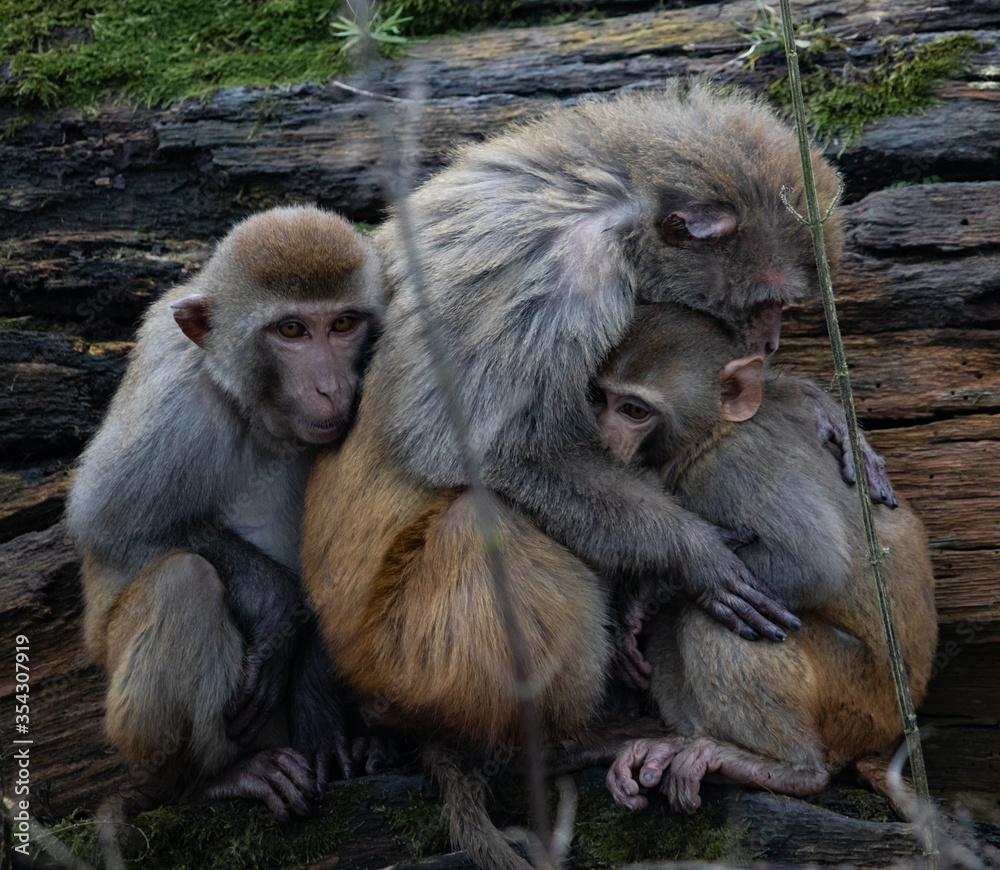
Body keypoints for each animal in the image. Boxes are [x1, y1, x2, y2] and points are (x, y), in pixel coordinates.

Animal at [65, 206, 388, 822]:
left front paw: (322, 721)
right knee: (182, 580)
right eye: (291, 330)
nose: (330, 387)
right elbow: (110, 526)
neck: (263, 421)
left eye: (342, 324)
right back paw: (209, 781)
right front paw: (274, 600)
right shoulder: (179, 405)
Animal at [599, 304, 938, 817]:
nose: (600, 438)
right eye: (600, 398)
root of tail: (889, 736)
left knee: (717, 614)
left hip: (857, 700)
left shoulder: (730, 468)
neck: (713, 430)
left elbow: (810, 563)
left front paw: (650, 592)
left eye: (634, 410)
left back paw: (787, 770)